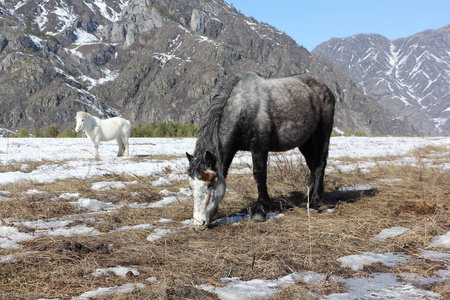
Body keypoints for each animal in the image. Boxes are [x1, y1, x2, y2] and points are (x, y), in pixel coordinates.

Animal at [185, 71, 334, 227]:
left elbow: (260, 174)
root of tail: (324, 87)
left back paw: (315, 202)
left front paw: (261, 211)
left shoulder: (259, 145)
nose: (199, 222)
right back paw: (311, 196)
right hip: (305, 142)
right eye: (191, 186)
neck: (242, 105)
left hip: (322, 134)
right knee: (312, 164)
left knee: (319, 164)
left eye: (209, 184)